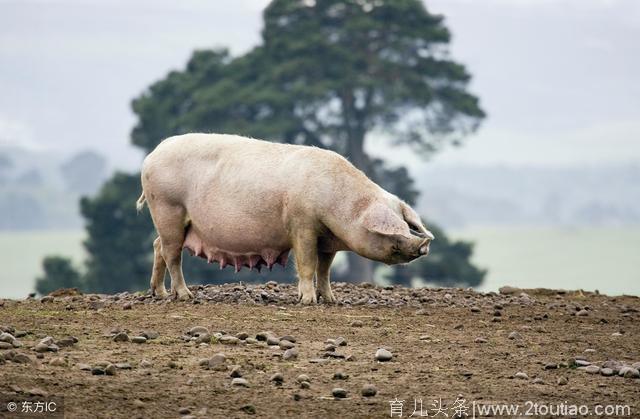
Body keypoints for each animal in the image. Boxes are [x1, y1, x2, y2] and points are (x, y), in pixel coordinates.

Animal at [136, 135, 436, 306]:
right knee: (172, 254)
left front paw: (332, 300)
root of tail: (152, 155)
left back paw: (160, 294)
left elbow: (325, 269)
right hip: (168, 208)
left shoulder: (327, 240)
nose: (424, 246)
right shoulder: (302, 225)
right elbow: (307, 264)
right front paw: (308, 301)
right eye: (395, 237)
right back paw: (185, 296)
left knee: (157, 246)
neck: (339, 203)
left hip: (172, 220)